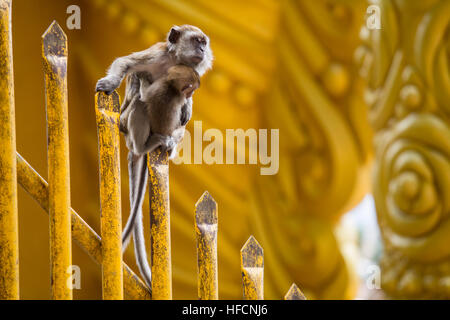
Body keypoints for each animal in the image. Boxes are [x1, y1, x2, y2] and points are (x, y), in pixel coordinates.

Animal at [94, 25, 213, 290]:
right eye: (197, 41)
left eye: (204, 43)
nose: (202, 50)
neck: (174, 61)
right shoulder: (156, 55)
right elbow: (126, 64)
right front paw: (111, 81)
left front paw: (188, 106)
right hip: (126, 124)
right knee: (139, 103)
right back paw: (146, 144)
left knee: (178, 125)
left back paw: (168, 143)